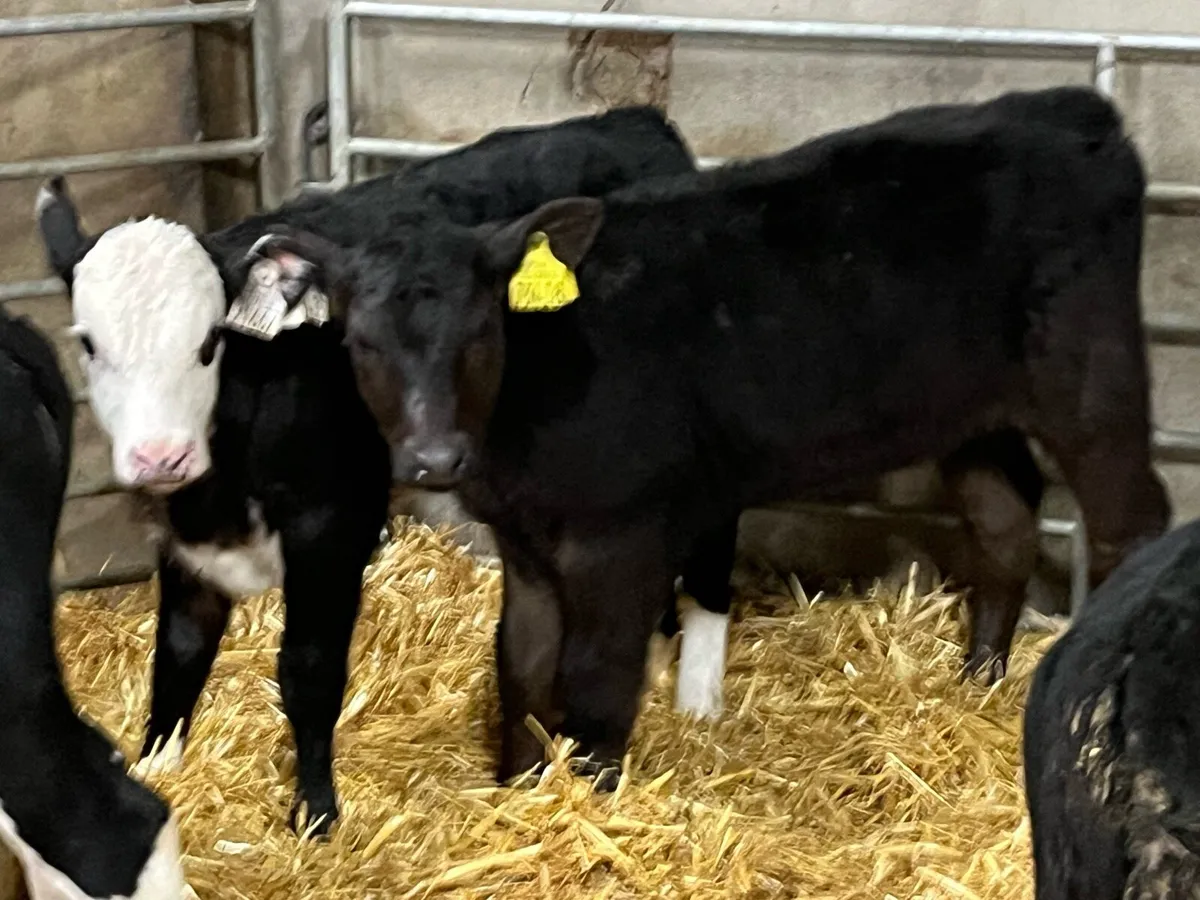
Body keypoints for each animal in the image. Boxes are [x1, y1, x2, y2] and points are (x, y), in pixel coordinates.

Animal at [34, 105, 700, 833]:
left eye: (209, 342)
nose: (159, 455)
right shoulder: (187, 538)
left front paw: (316, 813)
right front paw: (157, 768)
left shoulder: (330, 525)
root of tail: (634, 118)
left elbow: (309, 669)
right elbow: (179, 653)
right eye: (88, 344)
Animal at [271, 85, 1170, 787]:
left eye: (481, 333)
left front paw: (590, 796)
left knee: (1130, 524)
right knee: (1005, 523)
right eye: (361, 343)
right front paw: (519, 791)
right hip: (970, 407)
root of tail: (1067, 109)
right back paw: (978, 681)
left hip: (1094, 378)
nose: (432, 458)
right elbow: (520, 668)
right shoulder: (525, 540)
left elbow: (596, 678)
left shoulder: (621, 534)